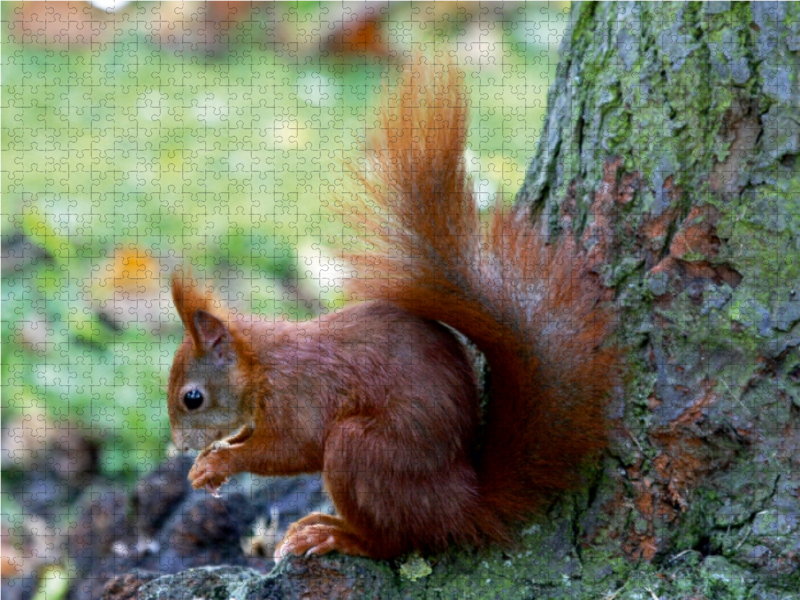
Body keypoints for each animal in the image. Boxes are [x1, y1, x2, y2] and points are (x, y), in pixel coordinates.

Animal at [167, 58, 620, 560]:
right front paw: (209, 458)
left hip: (363, 452)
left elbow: (291, 449)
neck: (261, 364)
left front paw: (220, 462)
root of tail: (462, 504)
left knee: (394, 541)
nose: (180, 448)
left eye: (192, 398)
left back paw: (336, 534)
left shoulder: (299, 395)